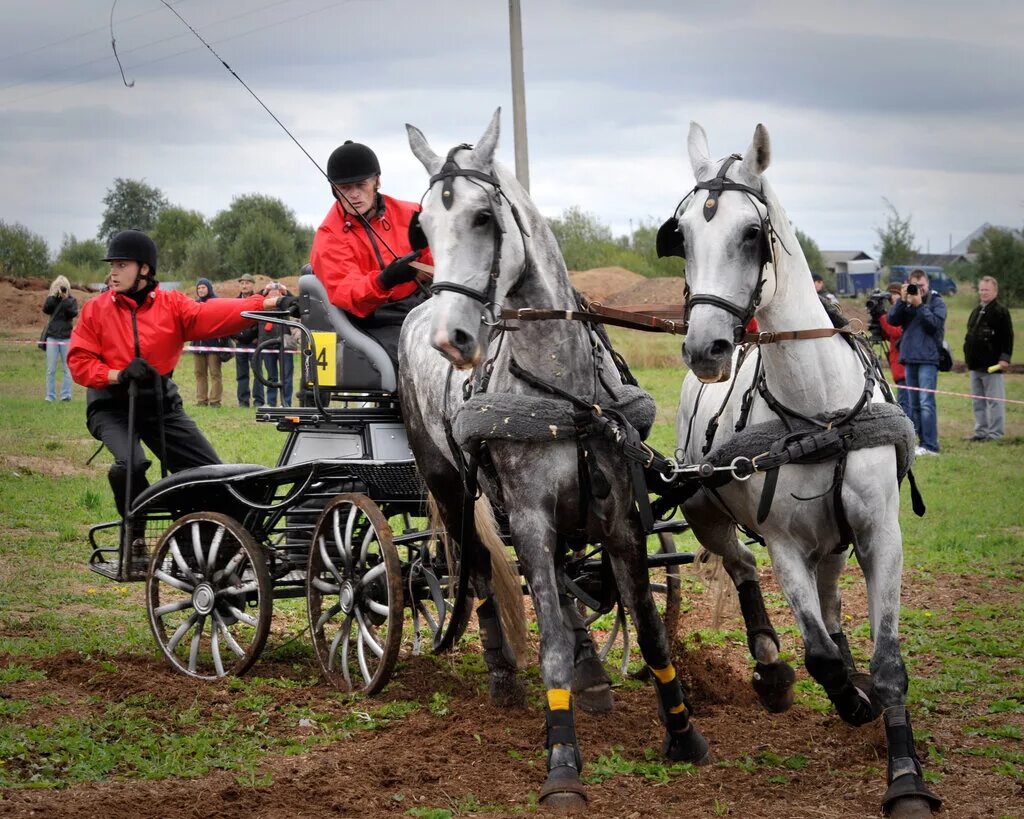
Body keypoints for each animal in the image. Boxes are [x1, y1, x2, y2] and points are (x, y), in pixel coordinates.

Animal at [399, 112, 712, 810]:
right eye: (423, 226)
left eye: (483, 217)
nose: (454, 339)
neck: (562, 390)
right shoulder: (531, 518)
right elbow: (547, 643)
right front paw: (563, 762)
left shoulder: (620, 517)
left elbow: (649, 628)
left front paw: (683, 734)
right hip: (450, 484)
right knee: (478, 571)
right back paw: (500, 671)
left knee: (564, 580)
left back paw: (591, 666)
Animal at [663, 123, 942, 818]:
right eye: (682, 236)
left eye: (750, 235)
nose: (705, 347)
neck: (818, 414)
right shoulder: (785, 542)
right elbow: (817, 655)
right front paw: (850, 700)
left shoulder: (880, 534)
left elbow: (887, 661)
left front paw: (905, 775)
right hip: (707, 512)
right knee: (740, 568)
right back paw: (770, 666)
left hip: (835, 539)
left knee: (832, 595)